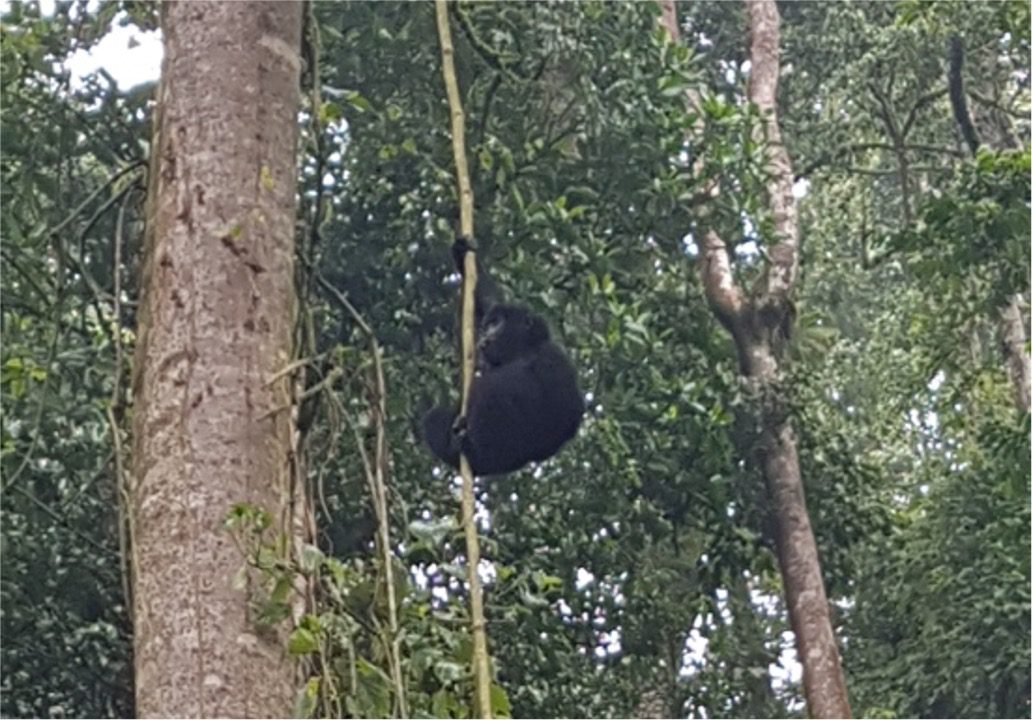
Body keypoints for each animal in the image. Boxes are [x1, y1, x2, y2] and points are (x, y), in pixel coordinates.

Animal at [418, 245, 582, 476]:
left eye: (496, 324)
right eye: (488, 325)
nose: (485, 336)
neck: (522, 351)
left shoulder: (551, 355)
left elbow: (568, 412)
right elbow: (487, 302)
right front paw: (463, 254)